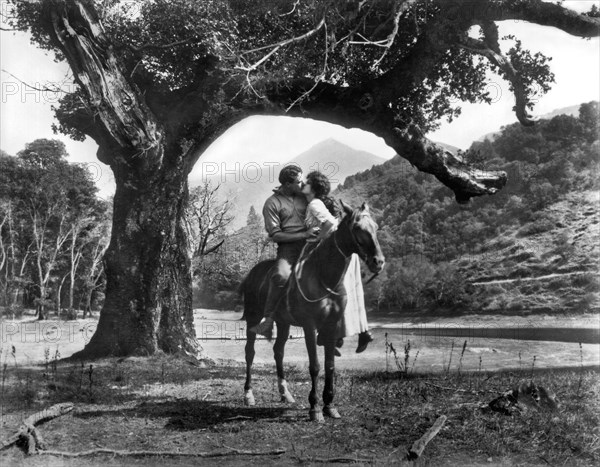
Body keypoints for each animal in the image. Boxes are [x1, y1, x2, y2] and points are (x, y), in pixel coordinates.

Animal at [239, 201, 384, 424]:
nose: (379, 261)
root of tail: (252, 273)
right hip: (252, 319)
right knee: (250, 353)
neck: (323, 276)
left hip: (283, 323)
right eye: (358, 228)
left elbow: (330, 365)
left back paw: (285, 393)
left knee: (278, 351)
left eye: (375, 227)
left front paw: (330, 406)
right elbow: (315, 366)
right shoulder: (310, 325)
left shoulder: (331, 325)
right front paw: (314, 408)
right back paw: (248, 395)